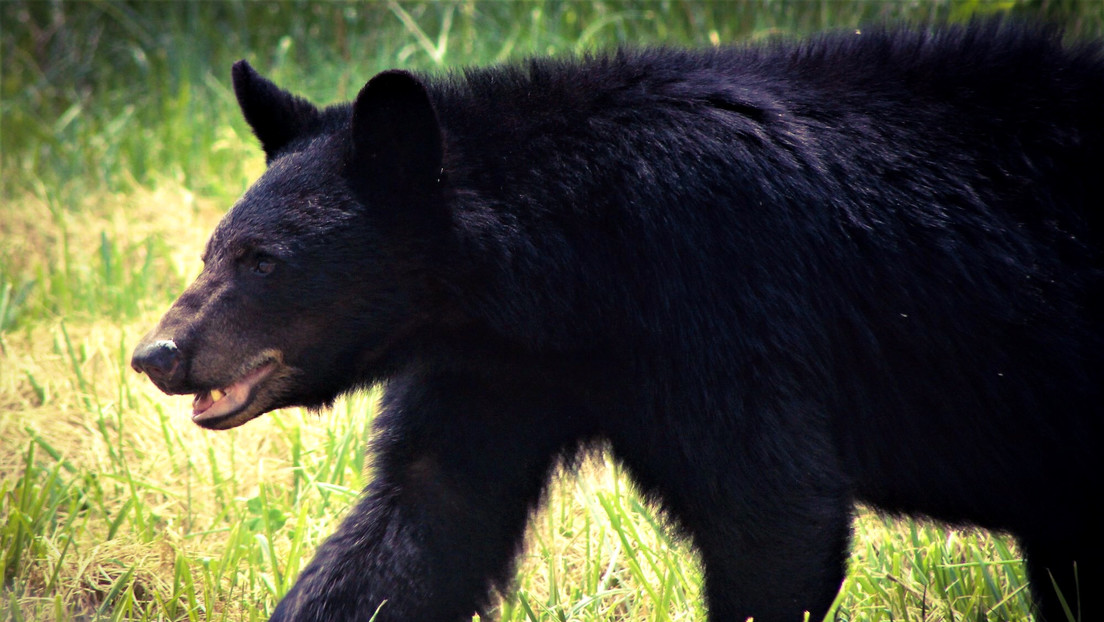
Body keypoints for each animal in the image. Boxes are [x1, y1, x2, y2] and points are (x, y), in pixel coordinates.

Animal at [131, 19, 1104, 622]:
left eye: (262, 260)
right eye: (213, 249)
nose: (157, 353)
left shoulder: (723, 301)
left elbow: (777, 514)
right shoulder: (497, 372)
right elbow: (422, 520)